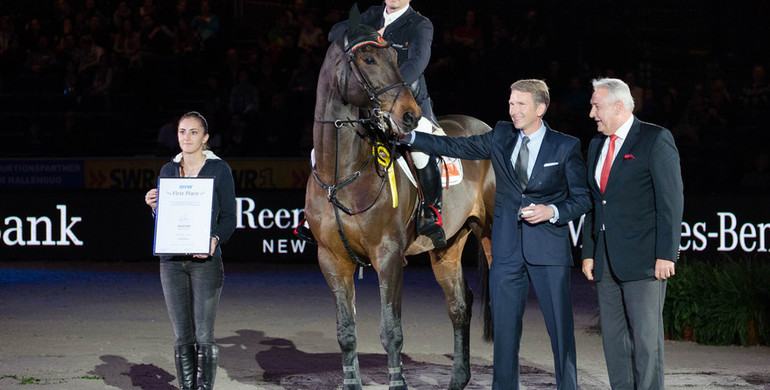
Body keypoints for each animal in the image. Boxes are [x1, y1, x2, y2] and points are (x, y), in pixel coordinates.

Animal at [300, 7, 492, 388]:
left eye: (396, 56)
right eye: (369, 58)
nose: (409, 115)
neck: (341, 174)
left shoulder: (388, 256)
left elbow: (391, 330)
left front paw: (398, 381)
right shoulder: (331, 260)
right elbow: (346, 332)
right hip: (448, 246)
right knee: (459, 305)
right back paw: (458, 379)